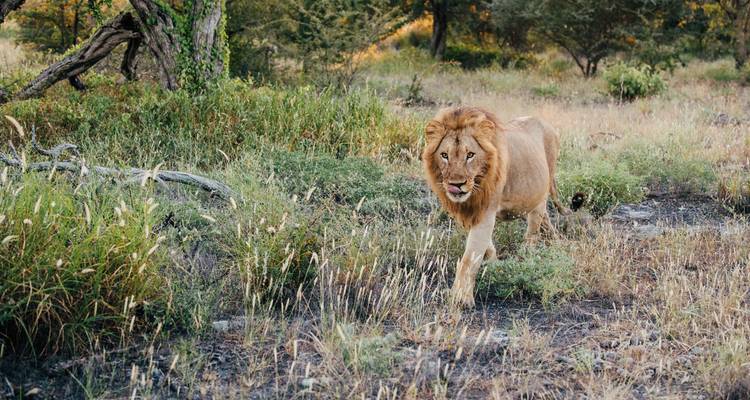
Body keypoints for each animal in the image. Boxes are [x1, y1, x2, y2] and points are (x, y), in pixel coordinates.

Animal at [422, 107, 569, 307]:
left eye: (470, 155)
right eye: (444, 155)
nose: (456, 184)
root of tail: (547, 124)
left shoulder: (486, 213)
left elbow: (469, 258)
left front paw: (461, 298)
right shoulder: (469, 214)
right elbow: (485, 248)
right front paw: (495, 264)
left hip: (541, 191)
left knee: (533, 230)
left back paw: (528, 259)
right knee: (545, 220)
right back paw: (557, 242)